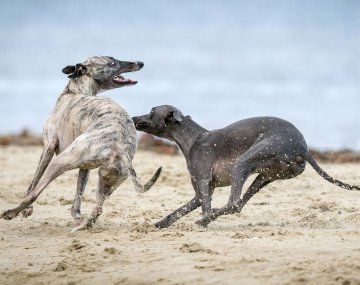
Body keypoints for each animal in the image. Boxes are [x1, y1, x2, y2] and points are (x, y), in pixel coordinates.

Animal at [1, 55, 162, 231]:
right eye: (112, 61)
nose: (140, 63)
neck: (75, 92)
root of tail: (120, 147)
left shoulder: (48, 147)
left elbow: (34, 181)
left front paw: (27, 210)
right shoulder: (85, 167)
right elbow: (78, 194)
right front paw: (76, 216)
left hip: (61, 160)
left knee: (35, 193)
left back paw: (10, 213)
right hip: (107, 179)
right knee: (98, 208)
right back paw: (82, 226)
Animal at [133, 105, 360, 227]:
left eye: (151, 110)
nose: (133, 117)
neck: (193, 138)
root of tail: (302, 147)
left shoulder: (204, 183)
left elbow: (205, 206)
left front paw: (204, 221)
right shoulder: (200, 192)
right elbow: (180, 210)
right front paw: (160, 224)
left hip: (243, 164)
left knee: (234, 203)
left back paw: (205, 220)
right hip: (264, 176)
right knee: (239, 204)